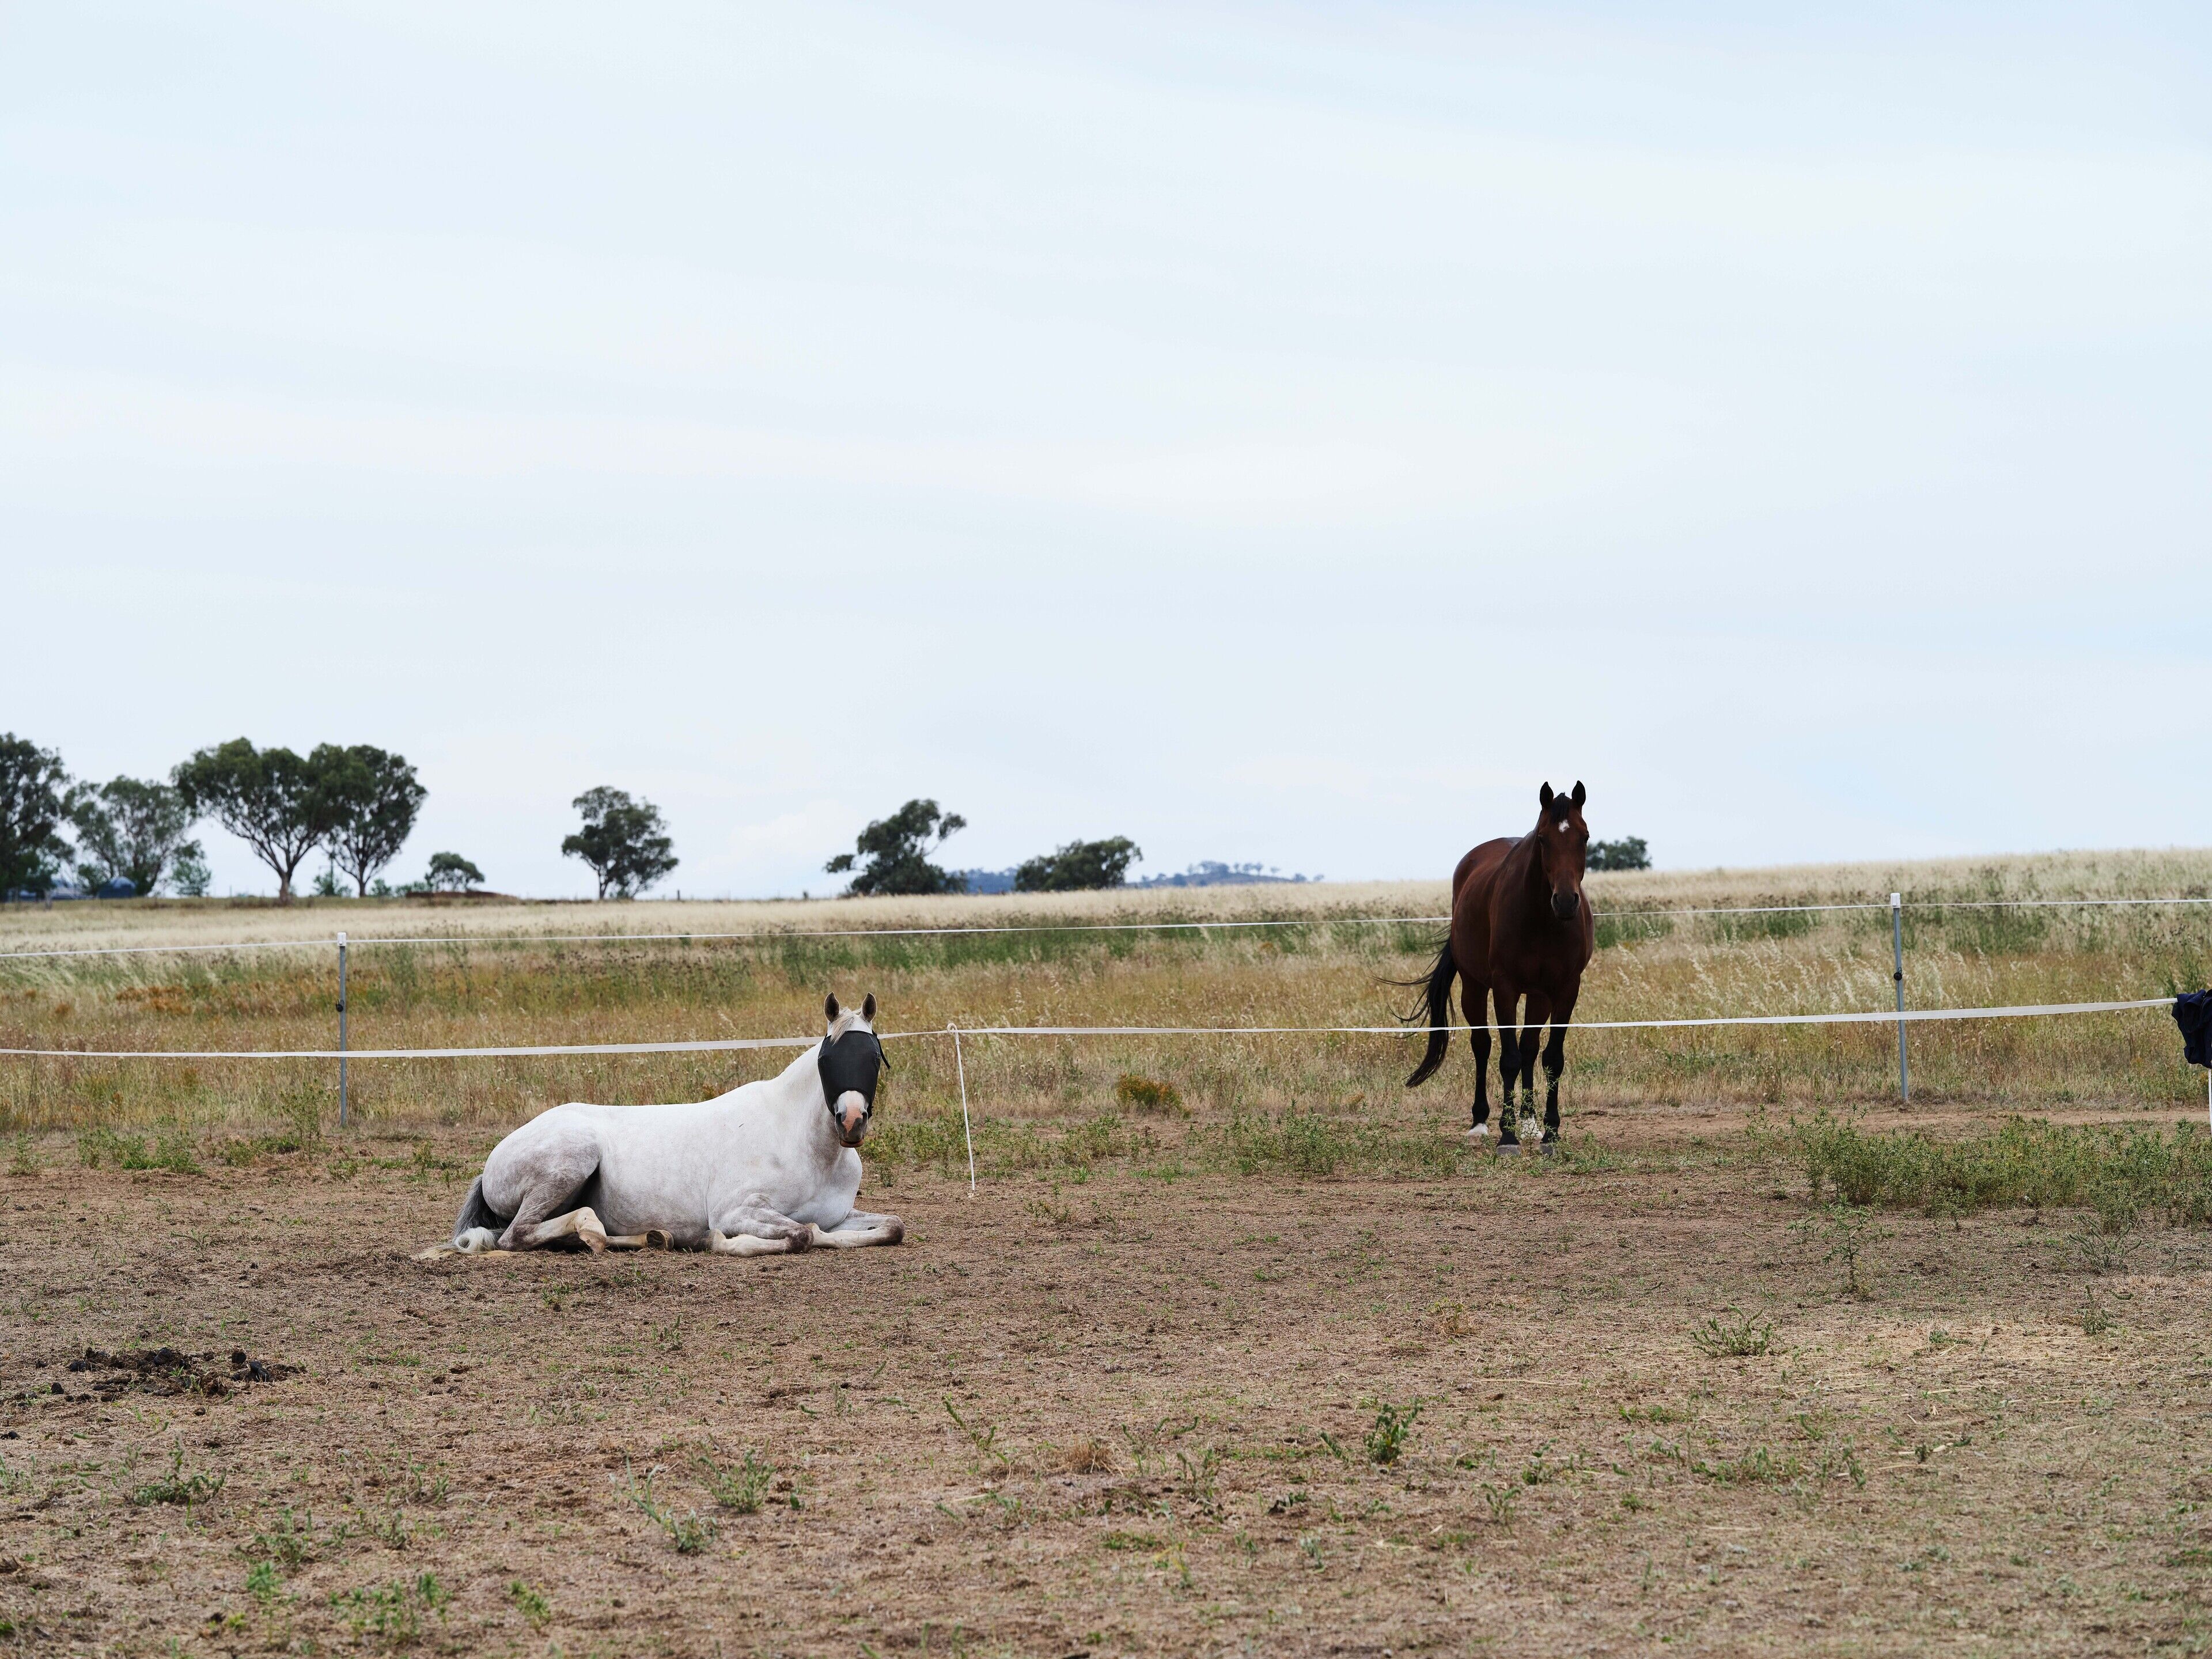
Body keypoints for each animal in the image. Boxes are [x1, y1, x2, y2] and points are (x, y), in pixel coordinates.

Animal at [449, 994, 903, 1257]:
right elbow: (803, 1235)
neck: (806, 1148)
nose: (851, 1121)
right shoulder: (736, 1211)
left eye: (873, 1057)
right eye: (828, 1059)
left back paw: (647, 1237)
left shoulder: (838, 1216)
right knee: (517, 1236)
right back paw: (590, 1230)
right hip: (572, 1157)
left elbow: (890, 1228)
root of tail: (491, 1164)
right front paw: (716, 1241)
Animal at [1403, 782, 1596, 1150]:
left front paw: (1550, 1132)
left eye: (1585, 837)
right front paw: (1508, 1136)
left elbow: (1551, 1058)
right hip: (1475, 988)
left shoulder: (1566, 989)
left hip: (1539, 996)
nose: (1566, 902)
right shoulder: (1504, 988)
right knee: (1483, 1046)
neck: (1543, 920)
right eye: (1542, 839)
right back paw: (1481, 1121)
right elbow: (1508, 1059)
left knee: (1530, 1048)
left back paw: (1529, 1121)